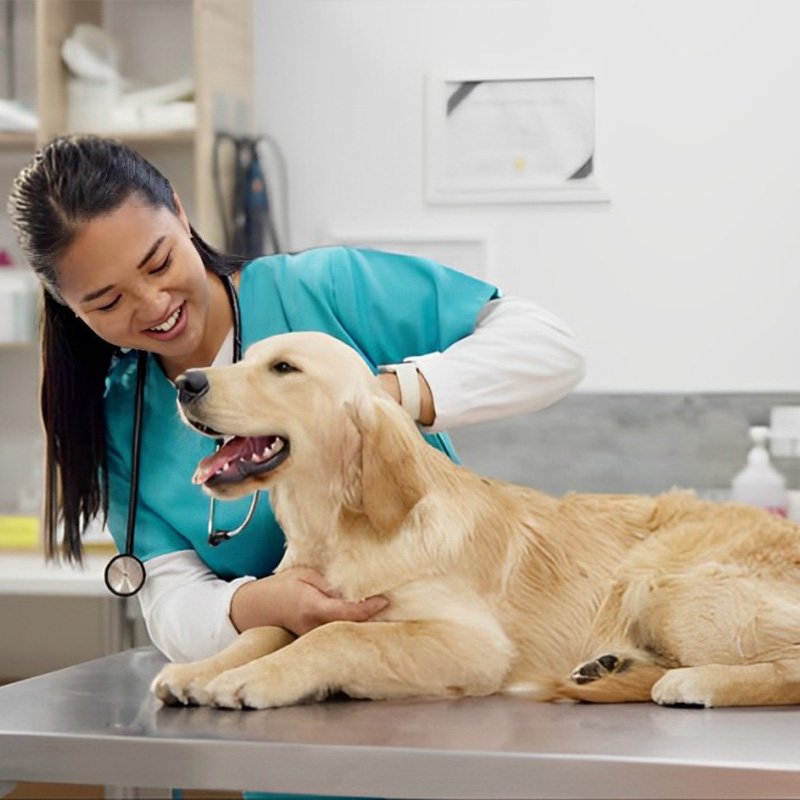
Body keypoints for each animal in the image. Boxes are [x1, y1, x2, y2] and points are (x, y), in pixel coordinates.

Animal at [150, 330, 800, 708]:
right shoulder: (302, 597)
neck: (337, 531)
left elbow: (339, 634)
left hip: (667, 585)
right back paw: (611, 667)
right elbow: (264, 629)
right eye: (246, 358)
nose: (186, 381)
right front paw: (202, 669)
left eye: (283, 369)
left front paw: (251, 679)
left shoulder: (473, 645)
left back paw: (694, 682)